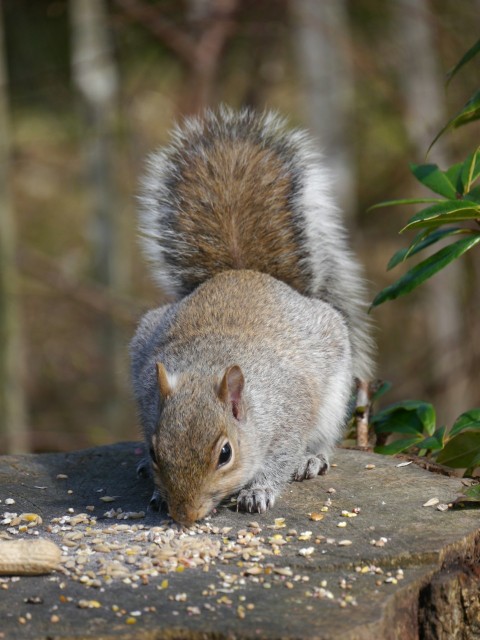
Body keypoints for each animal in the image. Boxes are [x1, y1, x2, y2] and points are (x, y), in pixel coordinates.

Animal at [130, 106, 374, 526]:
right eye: (156, 451)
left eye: (225, 454)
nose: (185, 516)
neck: (207, 366)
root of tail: (243, 271)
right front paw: (158, 491)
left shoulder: (289, 414)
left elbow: (279, 460)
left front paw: (258, 491)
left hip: (334, 391)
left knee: (323, 437)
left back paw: (313, 459)